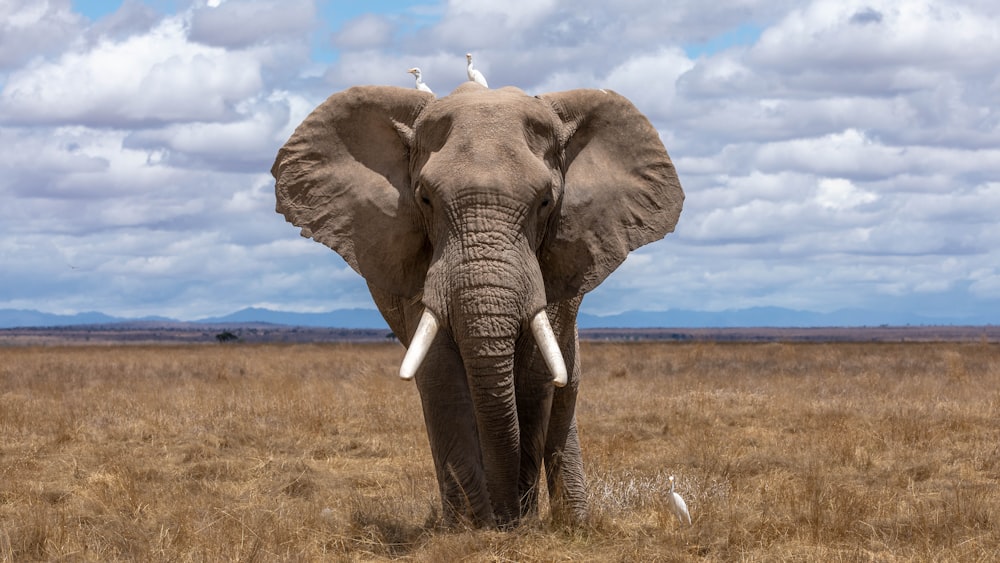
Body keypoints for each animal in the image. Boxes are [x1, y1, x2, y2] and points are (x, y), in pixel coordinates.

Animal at [270, 81, 684, 528]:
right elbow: (441, 376)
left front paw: (516, 524)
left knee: (565, 389)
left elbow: (535, 377)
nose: (506, 518)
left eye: (545, 202)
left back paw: (573, 523)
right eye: (425, 199)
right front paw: (472, 529)